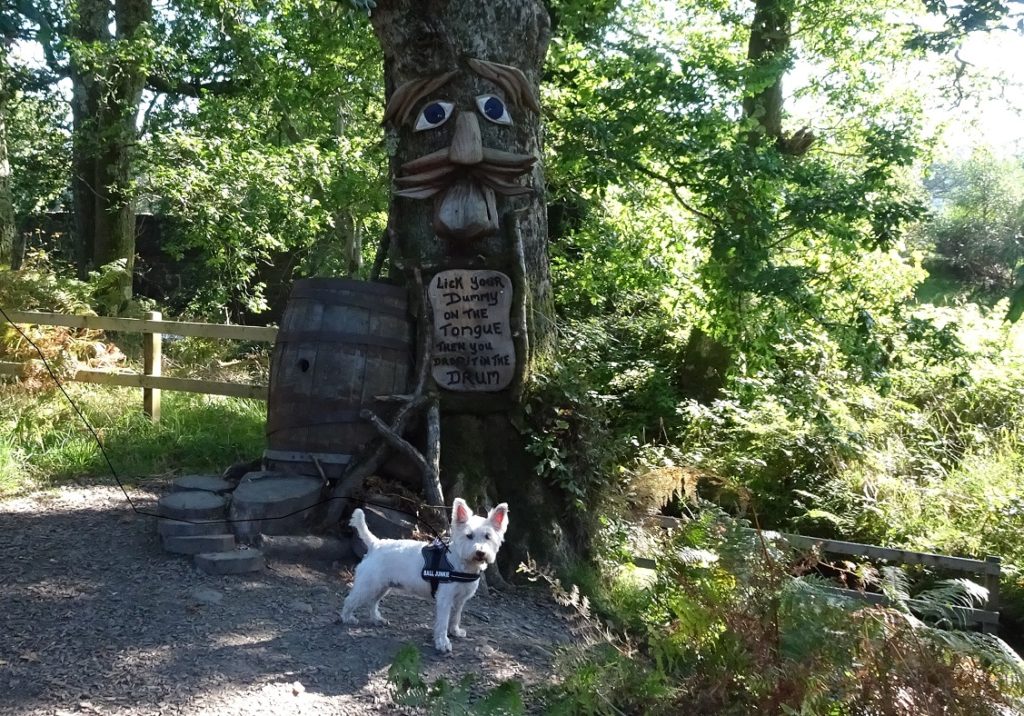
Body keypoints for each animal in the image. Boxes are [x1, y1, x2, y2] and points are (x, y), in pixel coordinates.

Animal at [339, 497, 507, 655]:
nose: (480, 552)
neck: (462, 564)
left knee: (372, 602)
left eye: (488, 536)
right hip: (368, 585)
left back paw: (377, 619)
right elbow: (443, 622)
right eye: (469, 536)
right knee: (350, 600)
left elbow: (456, 616)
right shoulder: (445, 599)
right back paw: (347, 618)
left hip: (382, 586)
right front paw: (443, 643)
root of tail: (376, 544)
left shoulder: (460, 599)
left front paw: (455, 631)